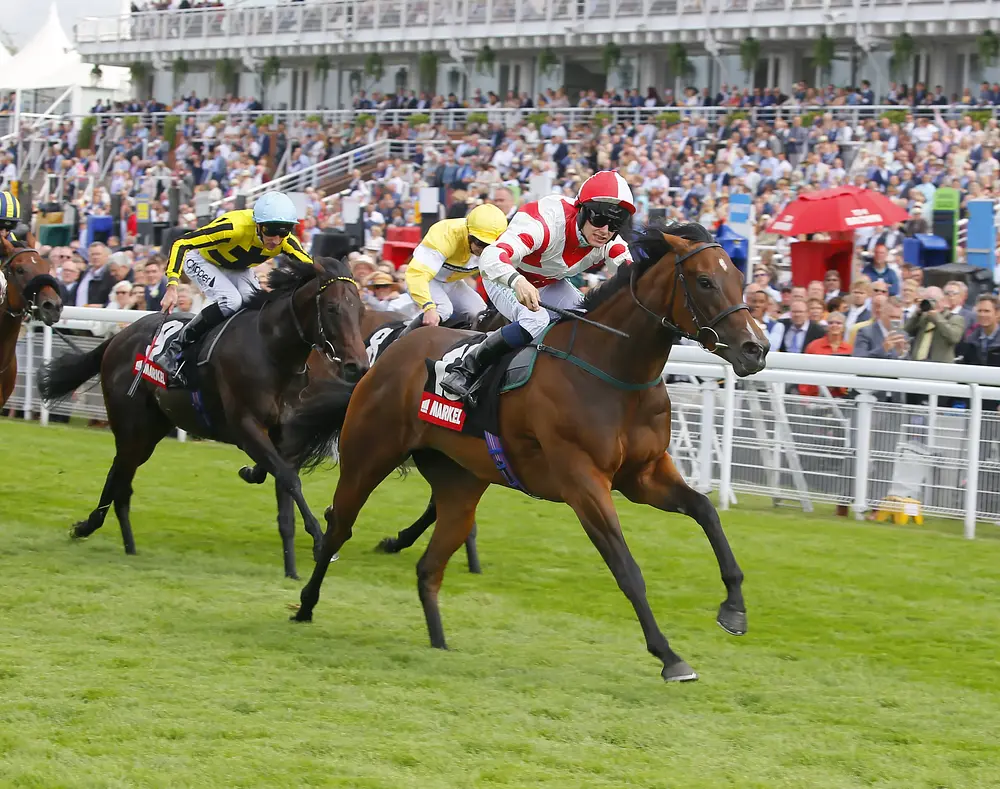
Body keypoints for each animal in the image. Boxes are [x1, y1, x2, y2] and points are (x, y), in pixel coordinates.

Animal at [38, 256, 368, 580]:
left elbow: (284, 489)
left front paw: (292, 568)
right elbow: (289, 479)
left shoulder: (283, 435)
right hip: (130, 424)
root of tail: (119, 336)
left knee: (120, 475)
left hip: (150, 430)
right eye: (332, 308)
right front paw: (320, 542)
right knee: (121, 478)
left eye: (361, 310)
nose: (359, 366)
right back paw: (101, 531)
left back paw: (115, 539)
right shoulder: (246, 426)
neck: (272, 351)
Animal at [281, 223, 769, 682]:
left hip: (461, 483)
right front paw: (669, 657)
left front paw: (734, 609)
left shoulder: (644, 475)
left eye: (739, 278)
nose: (756, 348)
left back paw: (438, 641)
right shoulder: (583, 483)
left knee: (429, 564)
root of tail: (384, 357)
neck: (611, 371)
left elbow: (706, 511)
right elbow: (626, 568)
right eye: (705, 281)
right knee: (339, 525)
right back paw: (305, 605)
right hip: (369, 455)